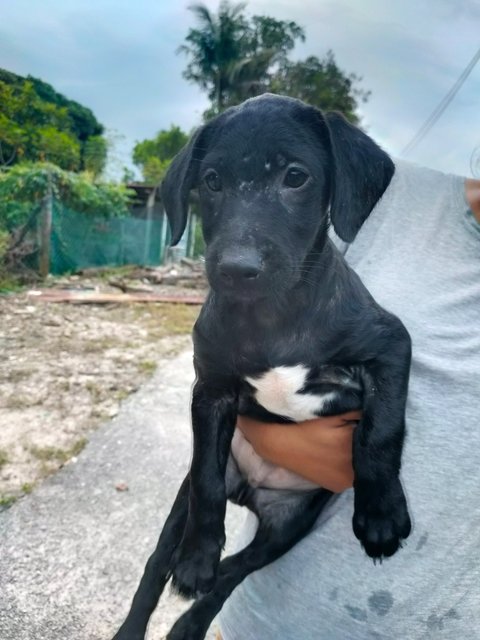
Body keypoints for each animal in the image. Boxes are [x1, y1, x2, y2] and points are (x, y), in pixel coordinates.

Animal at [110, 94, 410, 640]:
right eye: (211, 181)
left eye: (295, 177)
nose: (236, 268)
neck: (272, 316)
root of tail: (253, 491)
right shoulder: (210, 390)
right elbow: (207, 483)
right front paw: (196, 558)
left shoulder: (390, 345)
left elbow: (381, 431)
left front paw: (380, 513)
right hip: (185, 504)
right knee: (163, 561)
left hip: (289, 527)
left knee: (236, 572)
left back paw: (190, 622)